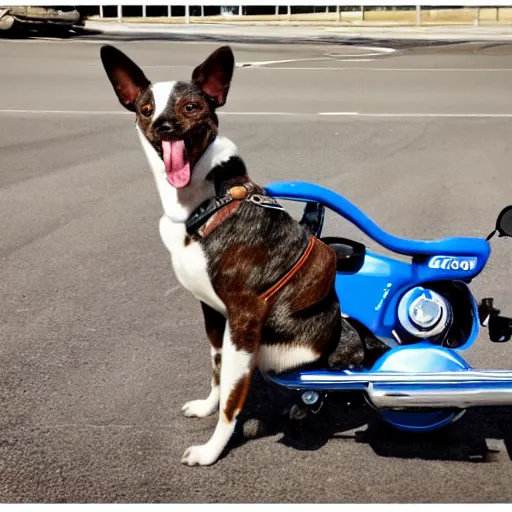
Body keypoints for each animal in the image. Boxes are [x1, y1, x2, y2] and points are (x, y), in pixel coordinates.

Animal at [100, 46, 372, 466]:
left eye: (191, 106)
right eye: (146, 109)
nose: (164, 125)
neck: (207, 200)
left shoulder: (244, 320)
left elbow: (232, 397)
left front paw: (212, 450)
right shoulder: (213, 313)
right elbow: (216, 369)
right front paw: (206, 407)